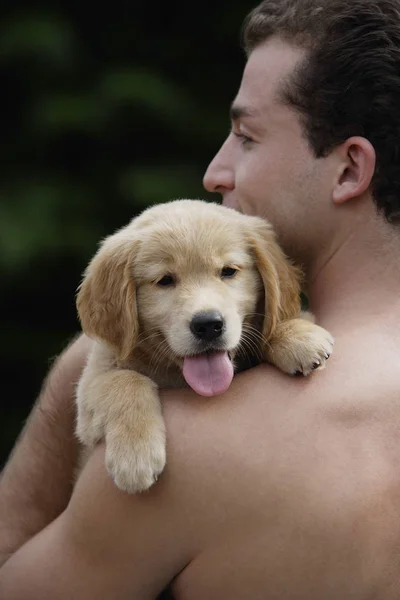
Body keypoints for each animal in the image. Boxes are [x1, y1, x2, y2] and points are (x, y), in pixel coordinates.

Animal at [76, 200, 334, 492]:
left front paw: (296, 336)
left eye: (228, 271)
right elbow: (124, 380)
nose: (208, 325)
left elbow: (274, 322)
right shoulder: (93, 384)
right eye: (165, 280)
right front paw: (134, 457)